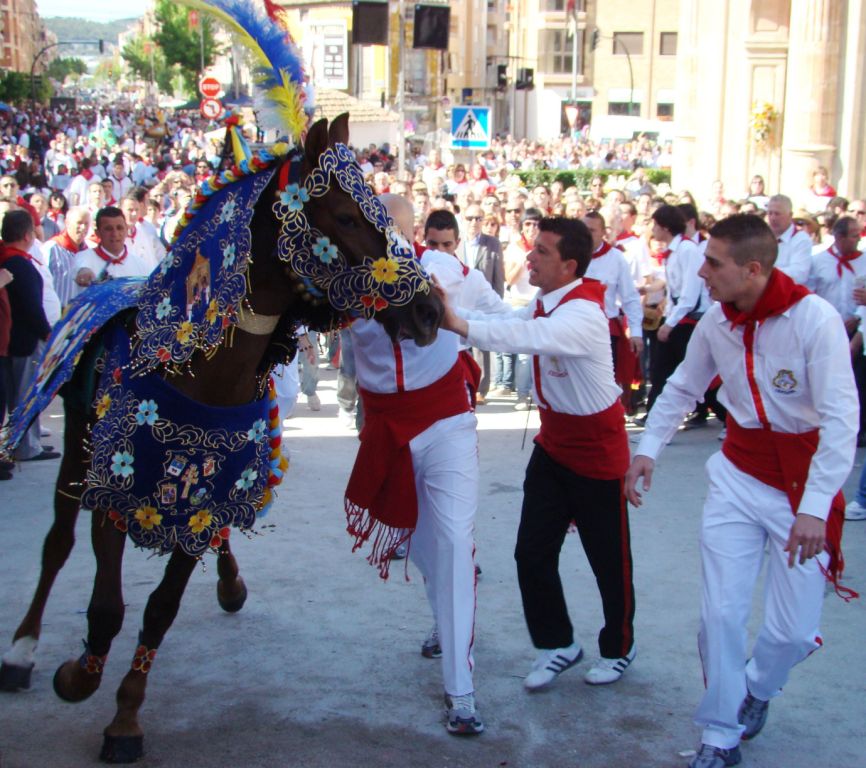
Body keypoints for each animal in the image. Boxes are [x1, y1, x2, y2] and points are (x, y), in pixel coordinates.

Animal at [0, 1, 436, 760]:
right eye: (345, 214)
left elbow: (160, 606)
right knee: (55, 545)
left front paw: (125, 713)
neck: (204, 372)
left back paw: (229, 583)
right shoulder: (116, 486)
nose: (431, 310)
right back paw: (23, 650)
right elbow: (106, 604)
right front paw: (81, 675)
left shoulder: (208, 486)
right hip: (74, 454)